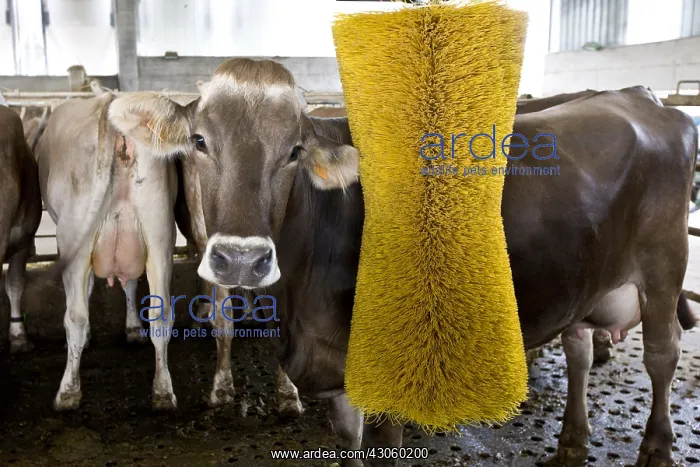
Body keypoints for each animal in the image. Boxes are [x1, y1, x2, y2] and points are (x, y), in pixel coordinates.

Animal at [107, 59, 698, 467]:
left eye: (294, 150)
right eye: (199, 141)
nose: (240, 259)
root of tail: (639, 98)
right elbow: (348, 440)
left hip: (666, 262)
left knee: (662, 354)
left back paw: (657, 448)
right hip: (581, 276)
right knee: (579, 349)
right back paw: (572, 442)